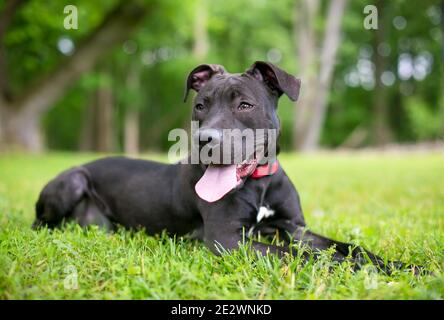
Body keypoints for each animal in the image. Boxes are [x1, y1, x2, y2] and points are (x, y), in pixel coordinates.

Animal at [35, 61, 406, 272]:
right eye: (200, 105)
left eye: (245, 105)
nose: (205, 140)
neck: (259, 183)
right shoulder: (227, 239)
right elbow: (302, 256)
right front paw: (360, 269)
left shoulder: (295, 229)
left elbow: (346, 246)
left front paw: (399, 266)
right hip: (73, 180)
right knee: (41, 222)